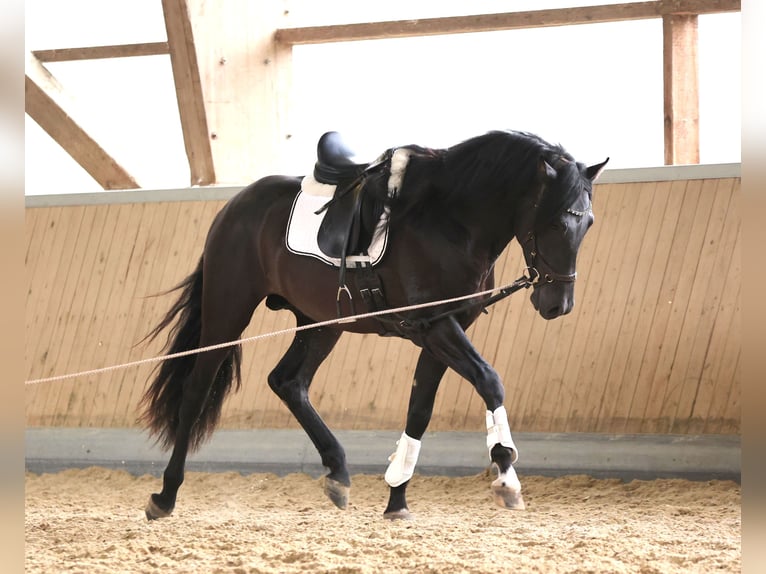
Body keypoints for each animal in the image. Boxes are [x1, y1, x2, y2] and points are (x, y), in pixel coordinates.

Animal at [138, 130, 608, 520]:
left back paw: (338, 473)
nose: (558, 304)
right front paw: (507, 477)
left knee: (288, 382)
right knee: (196, 390)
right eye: (553, 221)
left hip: (321, 322)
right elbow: (490, 381)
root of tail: (236, 205)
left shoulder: (441, 328)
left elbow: (420, 409)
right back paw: (166, 495)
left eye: (588, 223)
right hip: (228, 310)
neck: (450, 221)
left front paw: (397, 499)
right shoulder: (436, 328)